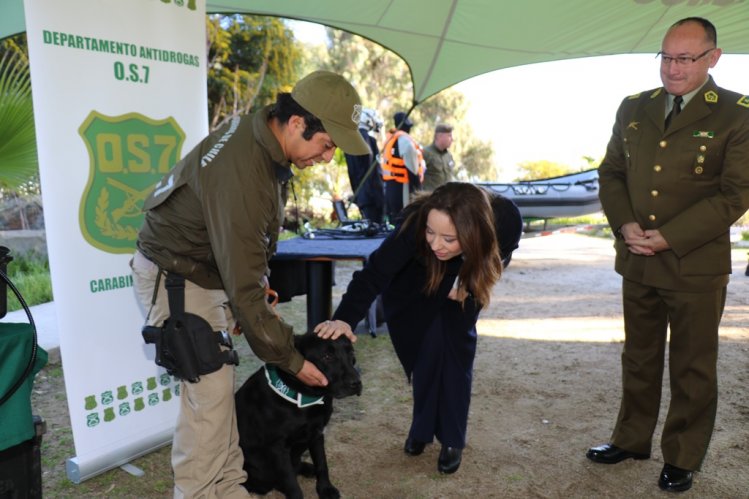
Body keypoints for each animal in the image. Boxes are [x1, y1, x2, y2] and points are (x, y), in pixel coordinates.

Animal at [235, 332, 360, 499]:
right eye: (327, 356)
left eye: (351, 353)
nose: (357, 383)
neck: (304, 395)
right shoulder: (278, 447)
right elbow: (290, 482)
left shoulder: (317, 433)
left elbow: (322, 464)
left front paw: (325, 489)